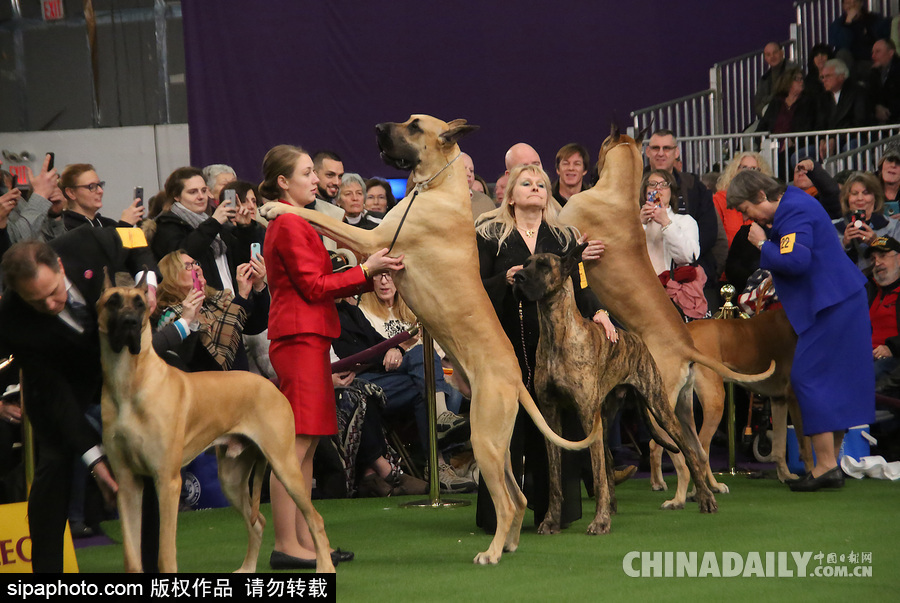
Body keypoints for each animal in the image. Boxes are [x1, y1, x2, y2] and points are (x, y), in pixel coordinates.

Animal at [96, 276, 334, 572]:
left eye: (140, 303)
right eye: (113, 301)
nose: (130, 322)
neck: (129, 381)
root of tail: (271, 385)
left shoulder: (167, 481)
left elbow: (166, 553)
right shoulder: (127, 483)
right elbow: (131, 556)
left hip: (285, 466)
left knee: (315, 519)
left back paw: (325, 568)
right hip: (231, 478)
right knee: (258, 522)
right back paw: (247, 569)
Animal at [512, 247, 688, 536]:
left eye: (544, 265)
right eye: (525, 263)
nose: (517, 277)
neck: (556, 332)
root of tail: (635, 337)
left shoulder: (586, 414)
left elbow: (598, 475)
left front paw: (600, 521)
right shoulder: (550, 415)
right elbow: (556, 477)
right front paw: (551, 520)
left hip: (659, 407)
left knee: (691, 451)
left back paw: (706, 498)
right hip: (606, 419)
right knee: (608, 457)